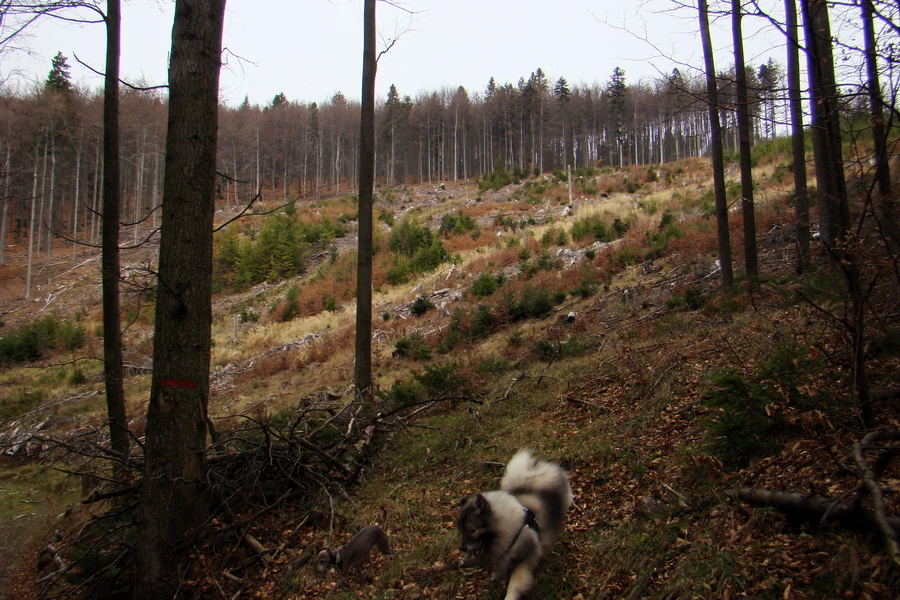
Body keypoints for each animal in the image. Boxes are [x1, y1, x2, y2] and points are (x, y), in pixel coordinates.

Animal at [454, 450, 572, 600]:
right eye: (461, 531)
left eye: (473, 530)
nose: (462, 548)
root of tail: (534, 470)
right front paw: (496, 574)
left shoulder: (525, 559)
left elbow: (514, 584)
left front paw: (510, 596)